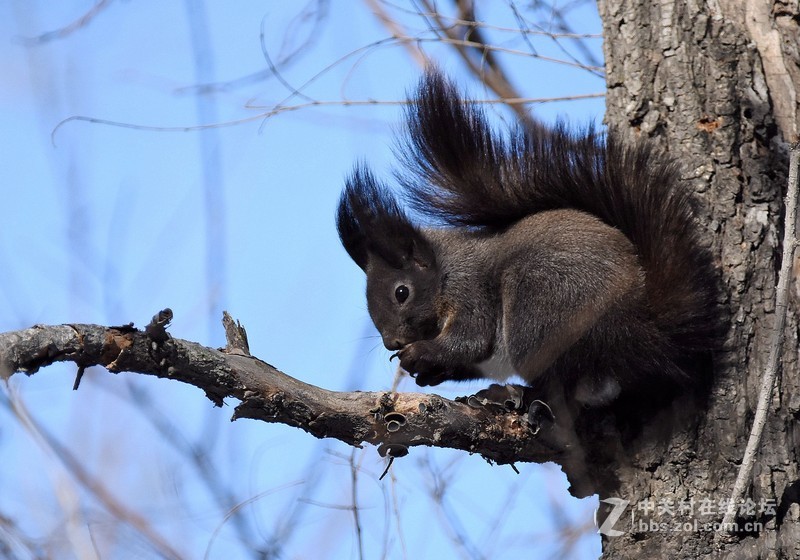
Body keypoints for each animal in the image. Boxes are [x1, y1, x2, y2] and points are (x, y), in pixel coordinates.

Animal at [336, 71, 720, 416]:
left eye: (402, 292)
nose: (392, 342)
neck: (446, 269)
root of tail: (647, 332)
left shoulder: (470, 291)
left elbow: (470, 341)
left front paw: (422, 354)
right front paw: (430, 371)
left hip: (541, 306)